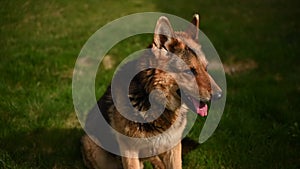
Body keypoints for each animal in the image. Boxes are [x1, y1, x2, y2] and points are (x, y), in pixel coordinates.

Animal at [81, 14, 221, 169]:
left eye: (206, 68)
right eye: (189, 71)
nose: (220, 95)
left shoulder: (173, 147)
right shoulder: (129, 151)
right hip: (94, 148)